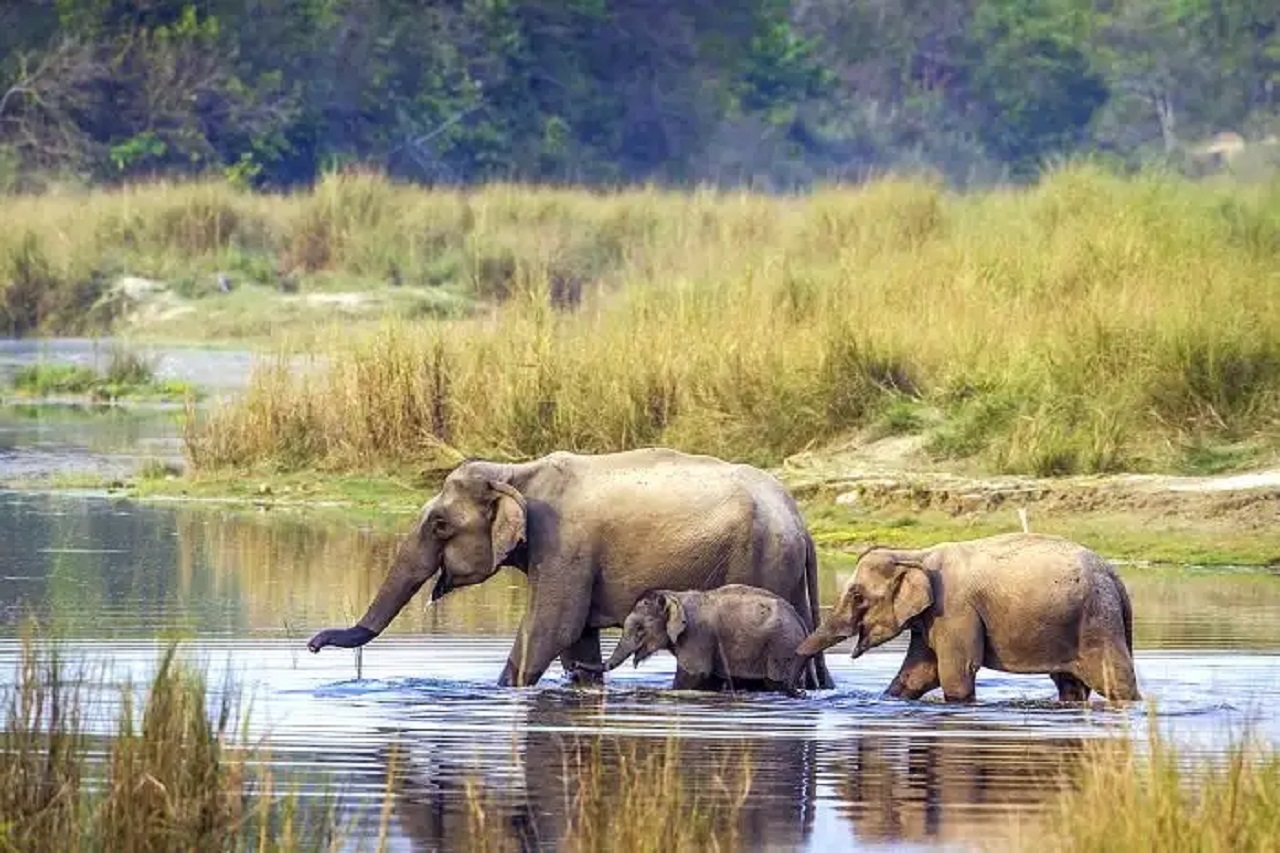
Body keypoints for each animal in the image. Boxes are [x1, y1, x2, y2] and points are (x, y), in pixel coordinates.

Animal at [593, 581, 814, 696]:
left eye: (640, 629)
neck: (675, 596)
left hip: (783, 647)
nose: (577, 666)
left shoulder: (697, 636)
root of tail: (802, 622)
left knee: (776, 682)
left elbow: (695, 674)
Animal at [798, 532, 1141, 701]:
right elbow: (918, 673)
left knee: (1116, 680)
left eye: (858, 596)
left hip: (1097, 619)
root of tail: (1115, 576)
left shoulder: (954, 610)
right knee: (1070, 686)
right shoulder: (932, 618)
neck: (915, 554)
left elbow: (955, 672)